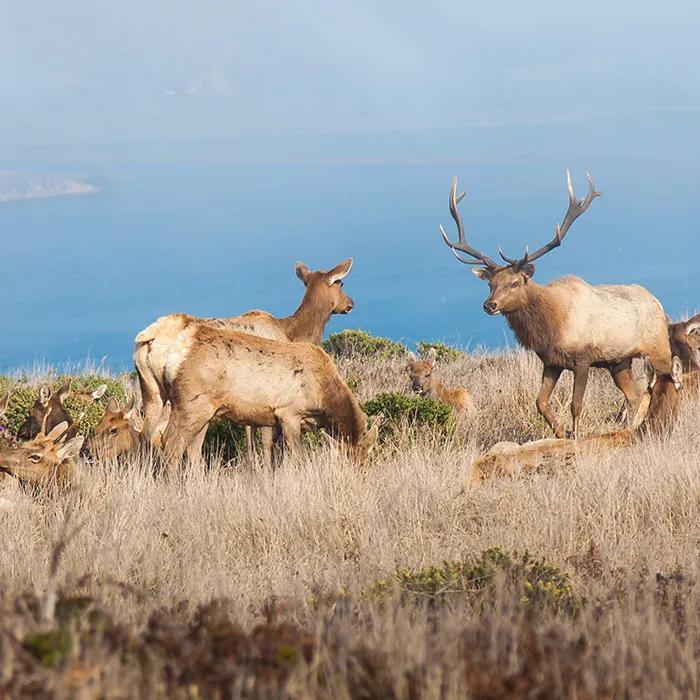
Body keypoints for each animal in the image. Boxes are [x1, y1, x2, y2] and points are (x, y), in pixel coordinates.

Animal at [134, 258, 355, 459]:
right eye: (341, 283)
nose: (351, 303)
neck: (291, 332)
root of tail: (150, 337)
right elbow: (265, 442)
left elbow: (250, 435)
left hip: (152, 391)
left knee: (145, 435)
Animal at [158, 326, 379, 474]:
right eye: (348, 464)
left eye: (366, 463)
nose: (359, 477)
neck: (322, 396)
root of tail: (172, 360)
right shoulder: (288, 412)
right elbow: (296, 456)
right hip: (192, 405)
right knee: (171, 444)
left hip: (197, 410)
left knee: (182, 445)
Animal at [437, 170, 672, 439]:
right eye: (490, 284)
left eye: (515, 283)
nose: (490, 305)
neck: (551, 327)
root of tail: (659, 304)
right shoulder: (551, 362)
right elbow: (540, 402)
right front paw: (561, 432)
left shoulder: (583, 359)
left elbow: (576, 405)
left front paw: (575, 436)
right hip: (618, 361)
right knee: (634, 394)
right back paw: (626, 428)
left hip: (658, 348)